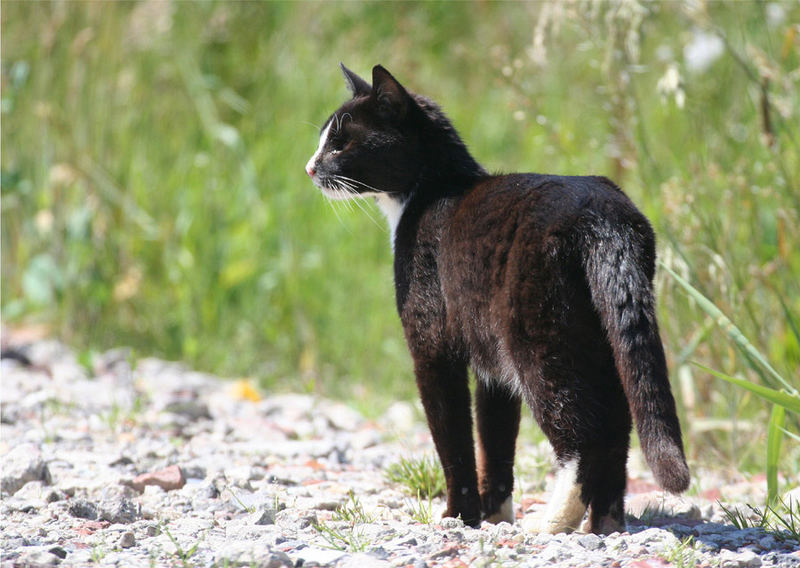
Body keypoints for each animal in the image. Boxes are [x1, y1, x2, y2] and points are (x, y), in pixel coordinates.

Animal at [304, 64, 688, 536]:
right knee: (617, 429)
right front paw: (493, 515)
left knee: (584, 435)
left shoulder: (432, 347)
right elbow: (495, 437)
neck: (430, 194)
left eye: (341, 143)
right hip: (598, 341)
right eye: (324, 139)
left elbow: (452, 438)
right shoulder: (493, 364)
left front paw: (458, 515)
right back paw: (603, 524)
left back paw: (551, 522)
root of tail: (602, 215)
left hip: (538, 342)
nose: (309, 167)